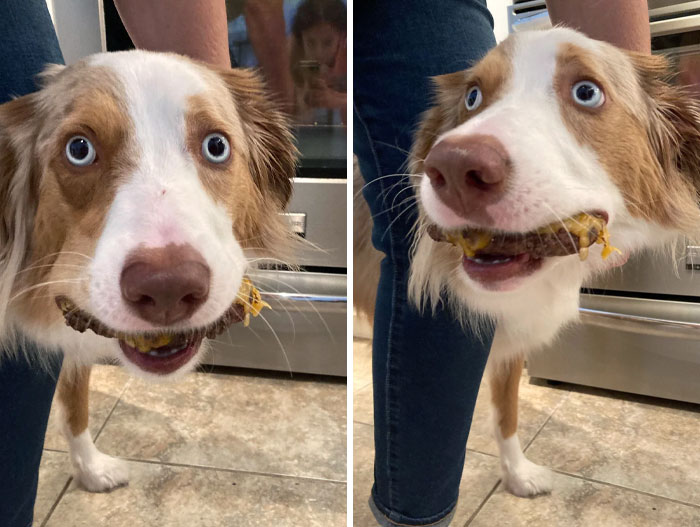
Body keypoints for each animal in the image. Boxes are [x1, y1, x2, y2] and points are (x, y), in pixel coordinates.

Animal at [352, 27, 700, 500]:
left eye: (587, 92)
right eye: (473, 97)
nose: (454, 167)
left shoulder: (510, 341)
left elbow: (507, 412)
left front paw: (516, 474)